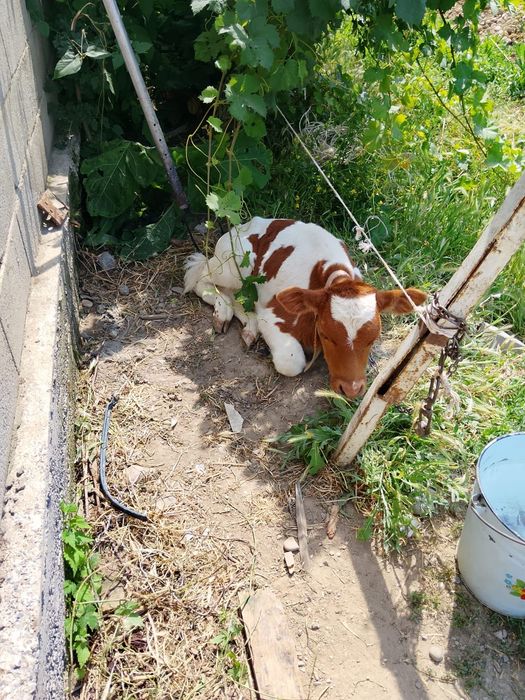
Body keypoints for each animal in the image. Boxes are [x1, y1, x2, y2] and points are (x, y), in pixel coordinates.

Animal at [184, 217, 427, 398]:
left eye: (372, 339)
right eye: (326, 335)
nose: (351, 390)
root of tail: (245, 224)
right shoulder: (272, 315)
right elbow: (291, 362)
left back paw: (249, 329)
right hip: (233, 264)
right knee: (200, 277)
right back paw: (223, 313)